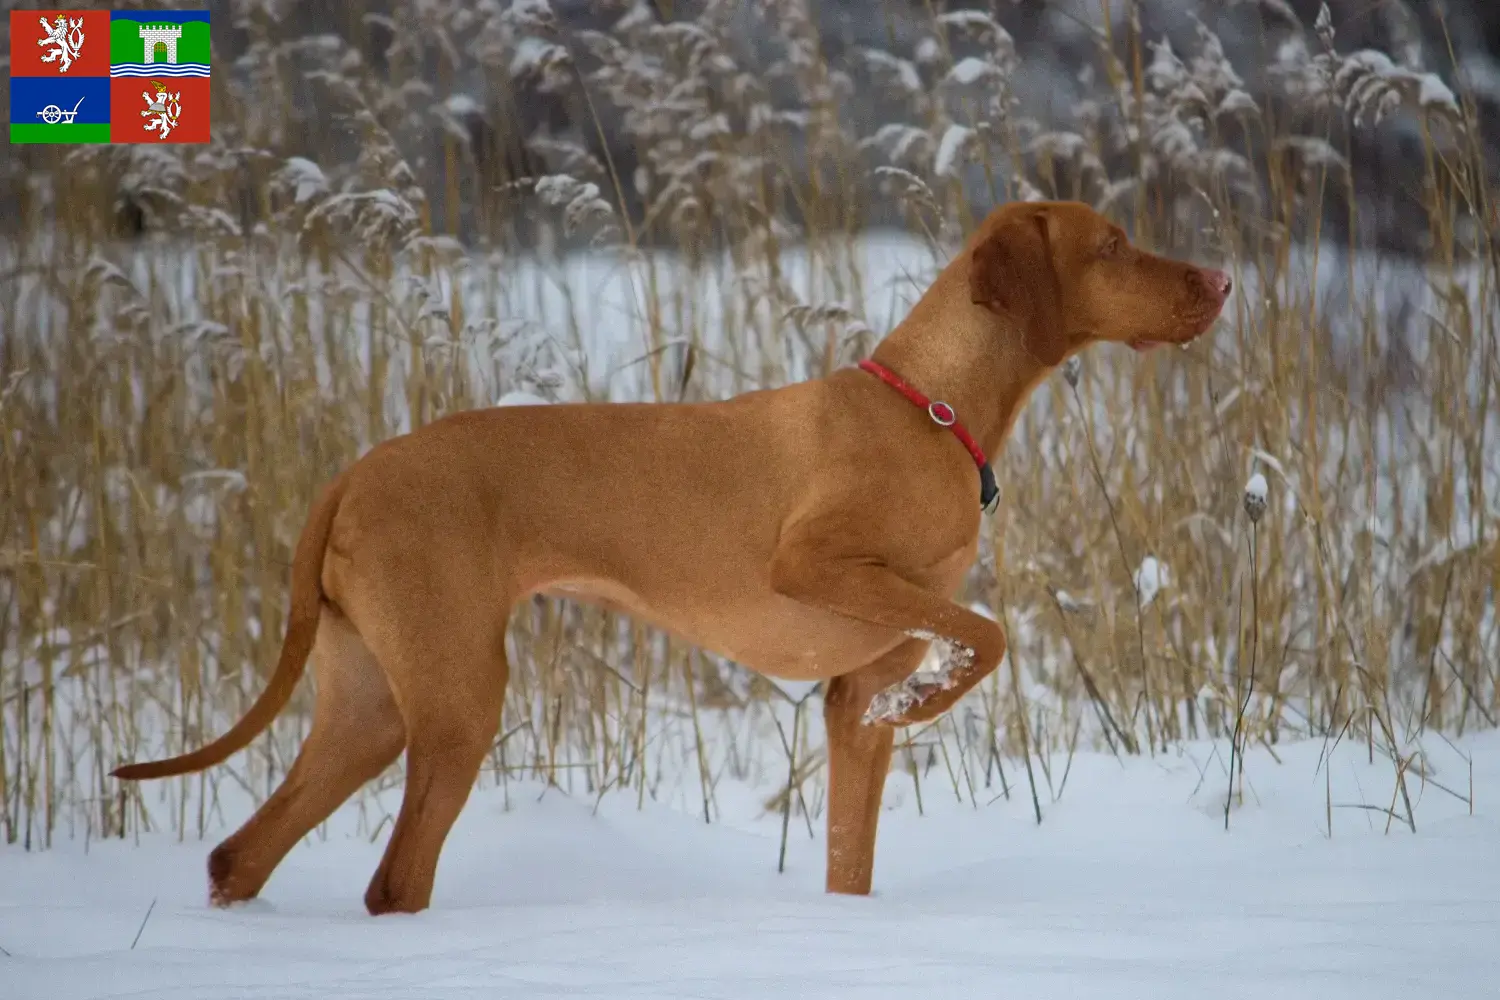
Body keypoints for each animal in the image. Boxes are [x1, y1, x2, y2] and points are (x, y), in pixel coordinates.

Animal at [108, 200, 1230, 917]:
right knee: (393, 882)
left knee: (240, 853)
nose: (1222, 278)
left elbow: (851, 856)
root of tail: (353, 472)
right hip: (458, 700)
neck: (932, 410)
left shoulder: (847, 698)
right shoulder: (811, 566)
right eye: (1114, 243)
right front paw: (932, 699)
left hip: (370, 708)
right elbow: (986, 634)